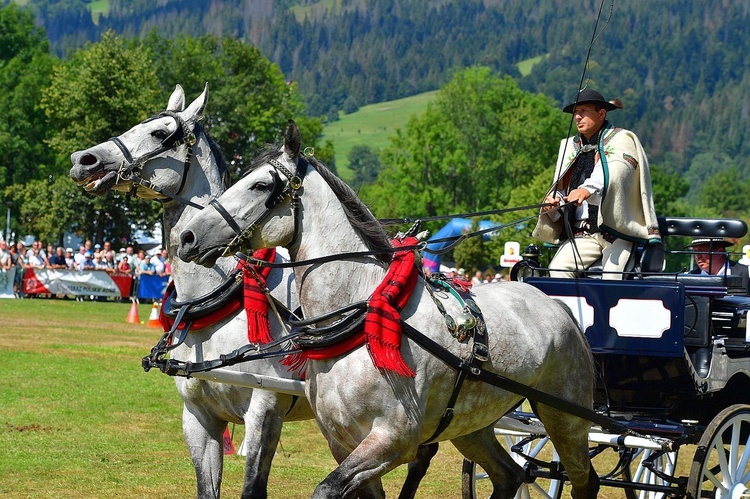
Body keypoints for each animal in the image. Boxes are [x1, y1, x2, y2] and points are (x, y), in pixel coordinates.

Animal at [68, 87, 438, 499]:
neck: (216, 297)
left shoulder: (264, 410)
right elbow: (207, 489)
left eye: (160, 133)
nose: (82, 159)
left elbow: (253, 488)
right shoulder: (198, 417)